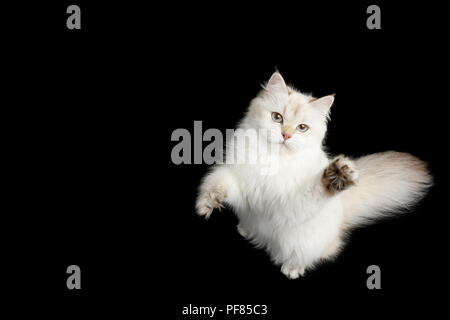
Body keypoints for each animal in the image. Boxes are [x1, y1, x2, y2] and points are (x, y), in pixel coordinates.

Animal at [194, 71, 432, 278]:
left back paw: (292, 269)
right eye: (277, 117)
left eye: (302, 128)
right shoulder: (239, 181)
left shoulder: (287, 205)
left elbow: (315, 191)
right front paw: (208, 202)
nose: (286, 135)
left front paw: (335, 178)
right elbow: (218, 183)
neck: (272, 160)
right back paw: (245, 230)